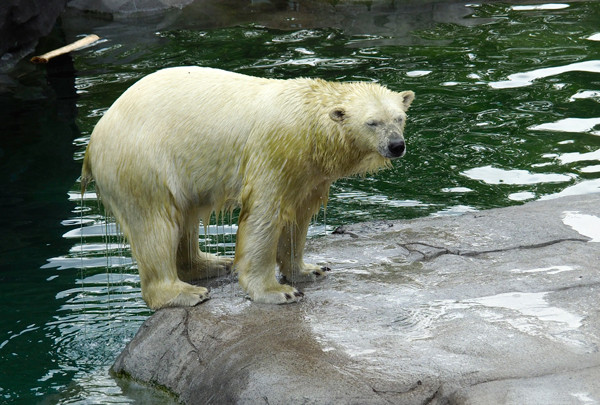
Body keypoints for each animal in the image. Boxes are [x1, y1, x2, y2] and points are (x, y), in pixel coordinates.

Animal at [82, 66, 414, 308]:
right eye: (372, 122)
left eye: (399, 118)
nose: (396, 145)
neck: (310, 127)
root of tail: (94, 138)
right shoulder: (275, 151)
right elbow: (264, 213)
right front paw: (278, 291)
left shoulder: (308, 171)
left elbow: (298, 215)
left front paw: (310, 269)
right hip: (142, 162)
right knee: (155, 224)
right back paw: (185, 292)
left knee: (184, 215)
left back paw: (212, 263)